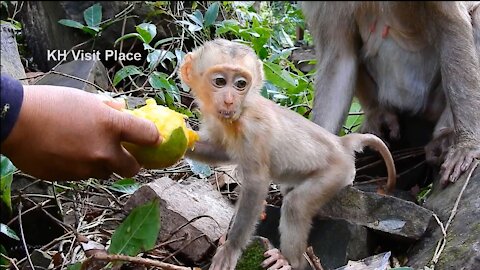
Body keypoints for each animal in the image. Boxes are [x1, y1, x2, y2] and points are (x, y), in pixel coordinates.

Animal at [178, 38, 396, 270]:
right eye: (220, 81)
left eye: (240, 84)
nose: (229, 101)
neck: (241, 111)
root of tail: (340, 142)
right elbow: (220, 150)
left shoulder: (252, 129)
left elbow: (256, 183)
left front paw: (231, 248)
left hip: (337, 172)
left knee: (296, 206)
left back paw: (291, 260)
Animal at [302, 1, 480, 186]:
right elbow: (338, 58)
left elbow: (451, 22)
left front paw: (467, 145)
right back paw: (378, 114)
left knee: (476, 14)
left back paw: (446, 135)